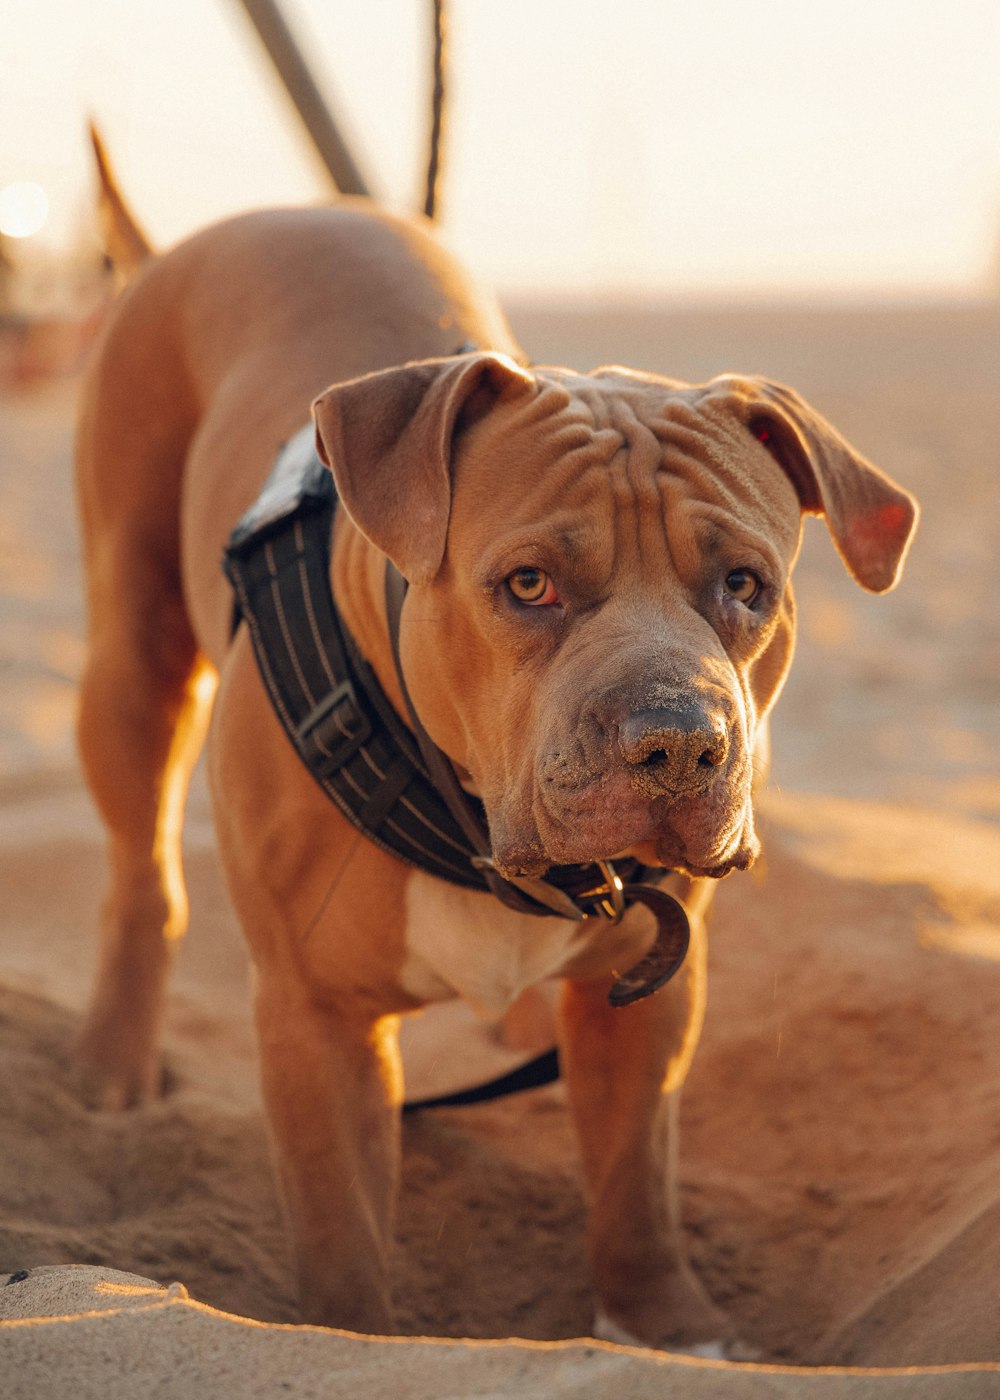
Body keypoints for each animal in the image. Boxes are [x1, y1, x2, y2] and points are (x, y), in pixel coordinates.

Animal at [73, 191, 913, 1349]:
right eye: (528, 584)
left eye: (746, 584)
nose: (678, 740)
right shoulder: (314, 1018)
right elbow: (341, 1225)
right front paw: (352, 1340)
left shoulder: (647, 992)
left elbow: (635, 1178)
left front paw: (669, 1325)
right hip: (133, 647)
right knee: (140, 871)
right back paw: (114, 1063)